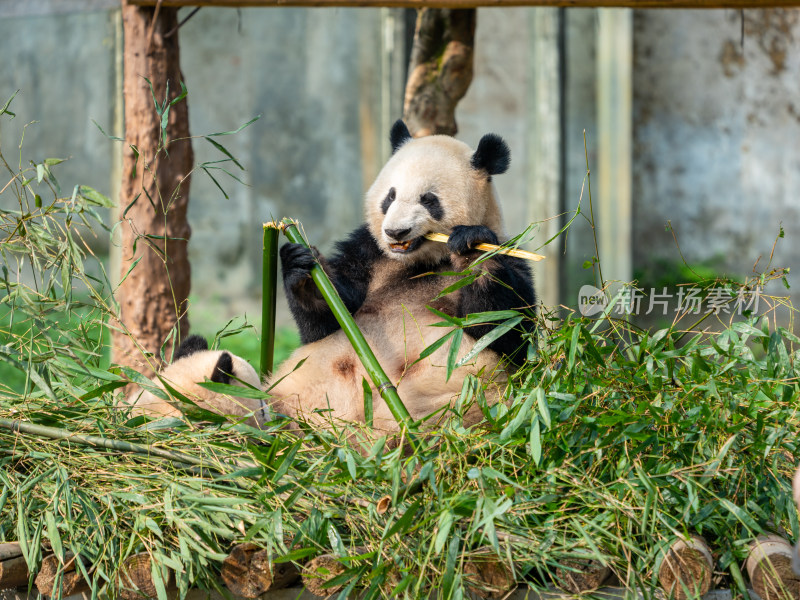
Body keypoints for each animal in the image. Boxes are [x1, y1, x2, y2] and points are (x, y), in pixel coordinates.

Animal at [268, 119, 536, 434]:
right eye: (390, 196)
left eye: (429, 200)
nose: (396, 232)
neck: (420, 261)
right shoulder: (368, 253)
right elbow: (325, 321)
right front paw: (302, 268)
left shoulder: (511, 255)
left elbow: (507, 330)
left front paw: (472, 249)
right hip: (295, 396)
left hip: (459, 413)